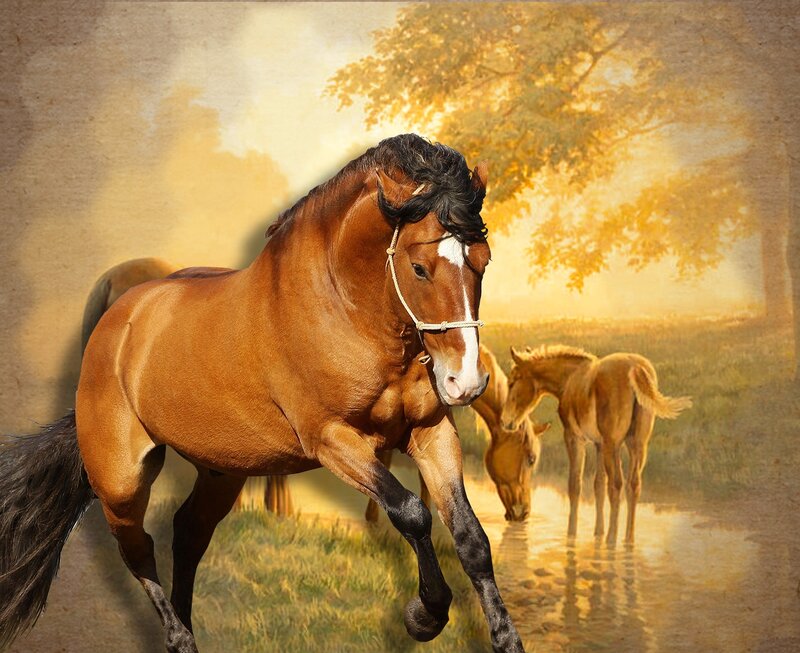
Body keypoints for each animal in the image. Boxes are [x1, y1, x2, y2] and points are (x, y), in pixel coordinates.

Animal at [0, 134, 525, 653]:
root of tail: (115, 321)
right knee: (137, 548)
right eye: (419, 268)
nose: (465, 381)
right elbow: (412, 512)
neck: (345, 311)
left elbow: (470, 537)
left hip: (221, 470)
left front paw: (504, 637)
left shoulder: (430, 431)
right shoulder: (333, 440)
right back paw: (178, 637)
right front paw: (424, 616)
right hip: (121, 479)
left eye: (483, 262)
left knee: (188, 533)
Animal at [501, 345, 691, 543]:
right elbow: (598, 485)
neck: (569, 378)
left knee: (616, 485)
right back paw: (628, 539)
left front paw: (572, 533)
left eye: (512, 382)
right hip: (636, 444)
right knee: (633, 485)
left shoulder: (574, 438)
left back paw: (612, 538)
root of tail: (635, 367)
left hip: (613, 445)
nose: (505, 422)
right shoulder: (599, 445)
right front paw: (597, 532)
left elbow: (575, 485)